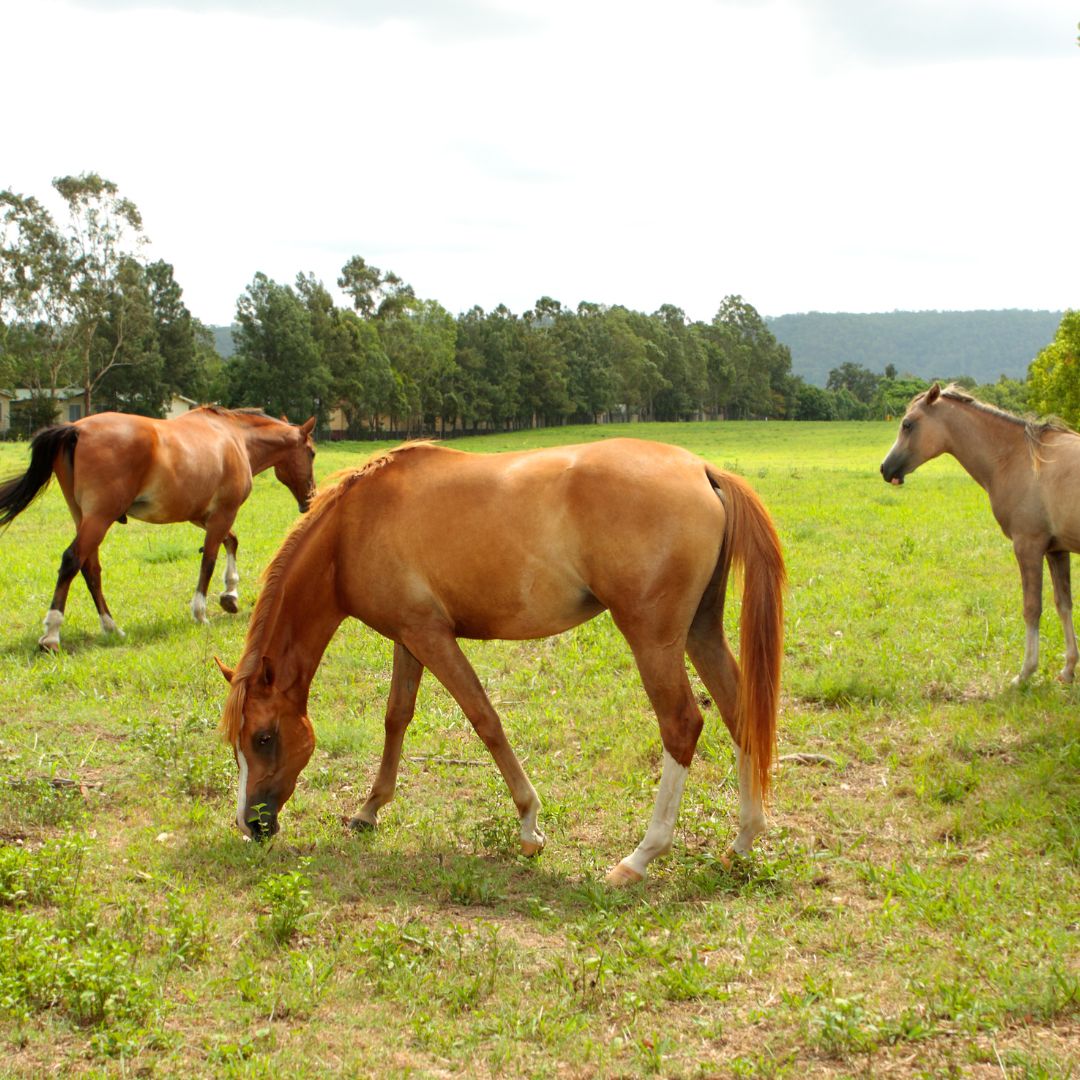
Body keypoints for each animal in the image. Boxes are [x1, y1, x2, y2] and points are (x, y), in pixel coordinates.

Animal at [0, 406, 316, 651]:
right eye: (312, 453)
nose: (310, 499)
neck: (235, 438)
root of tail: (76, 429)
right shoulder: (223, 514)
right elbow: (209, 559)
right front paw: (201, 612)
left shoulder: (202, 515)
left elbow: (231, 542)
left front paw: (230, 595)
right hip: (99, 519)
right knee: (72, 561)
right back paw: (52, 634)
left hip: (85, 518)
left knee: (90, 569)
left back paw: (111, 627)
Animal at [216, 437, 785, 885]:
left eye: (263, 738)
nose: (251, 825)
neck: (353, 528)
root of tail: (702, 469)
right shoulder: (408, 637)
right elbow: (396, 718)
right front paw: (369, 810)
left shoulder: (432, 636)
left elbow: (484, 719)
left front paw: (530, 826)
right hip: (700, 631)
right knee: (739, 714)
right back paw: (743, 841)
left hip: (654, 640)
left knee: (683, 725)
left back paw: (640, 857)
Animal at [881, 382, 1080, 684]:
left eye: (907, 424)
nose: (885, 468)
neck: (1016, 458)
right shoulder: (1056, 550)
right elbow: (1064, 604)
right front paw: (1068, 669)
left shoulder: (1028, 546)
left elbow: (1032, 608)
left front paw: (1025, 672)